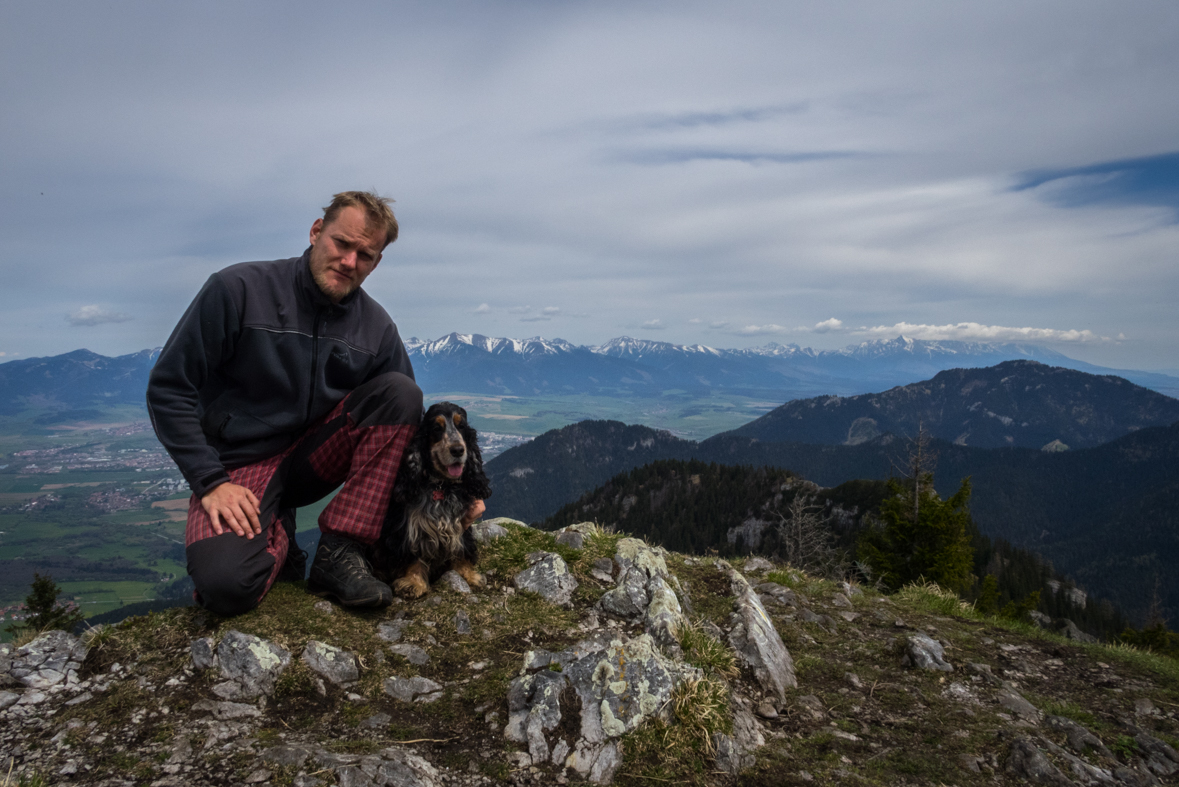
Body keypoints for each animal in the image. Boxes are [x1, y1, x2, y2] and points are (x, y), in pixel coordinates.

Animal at [374, 402, 490, 598]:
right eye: (436, 428)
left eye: (461, 426)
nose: (458, 450)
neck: (441, 486)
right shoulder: (410, 526)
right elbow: (413, 553)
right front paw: (413, 583)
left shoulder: (461, 523)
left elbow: (462, 548)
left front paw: (468, 576)